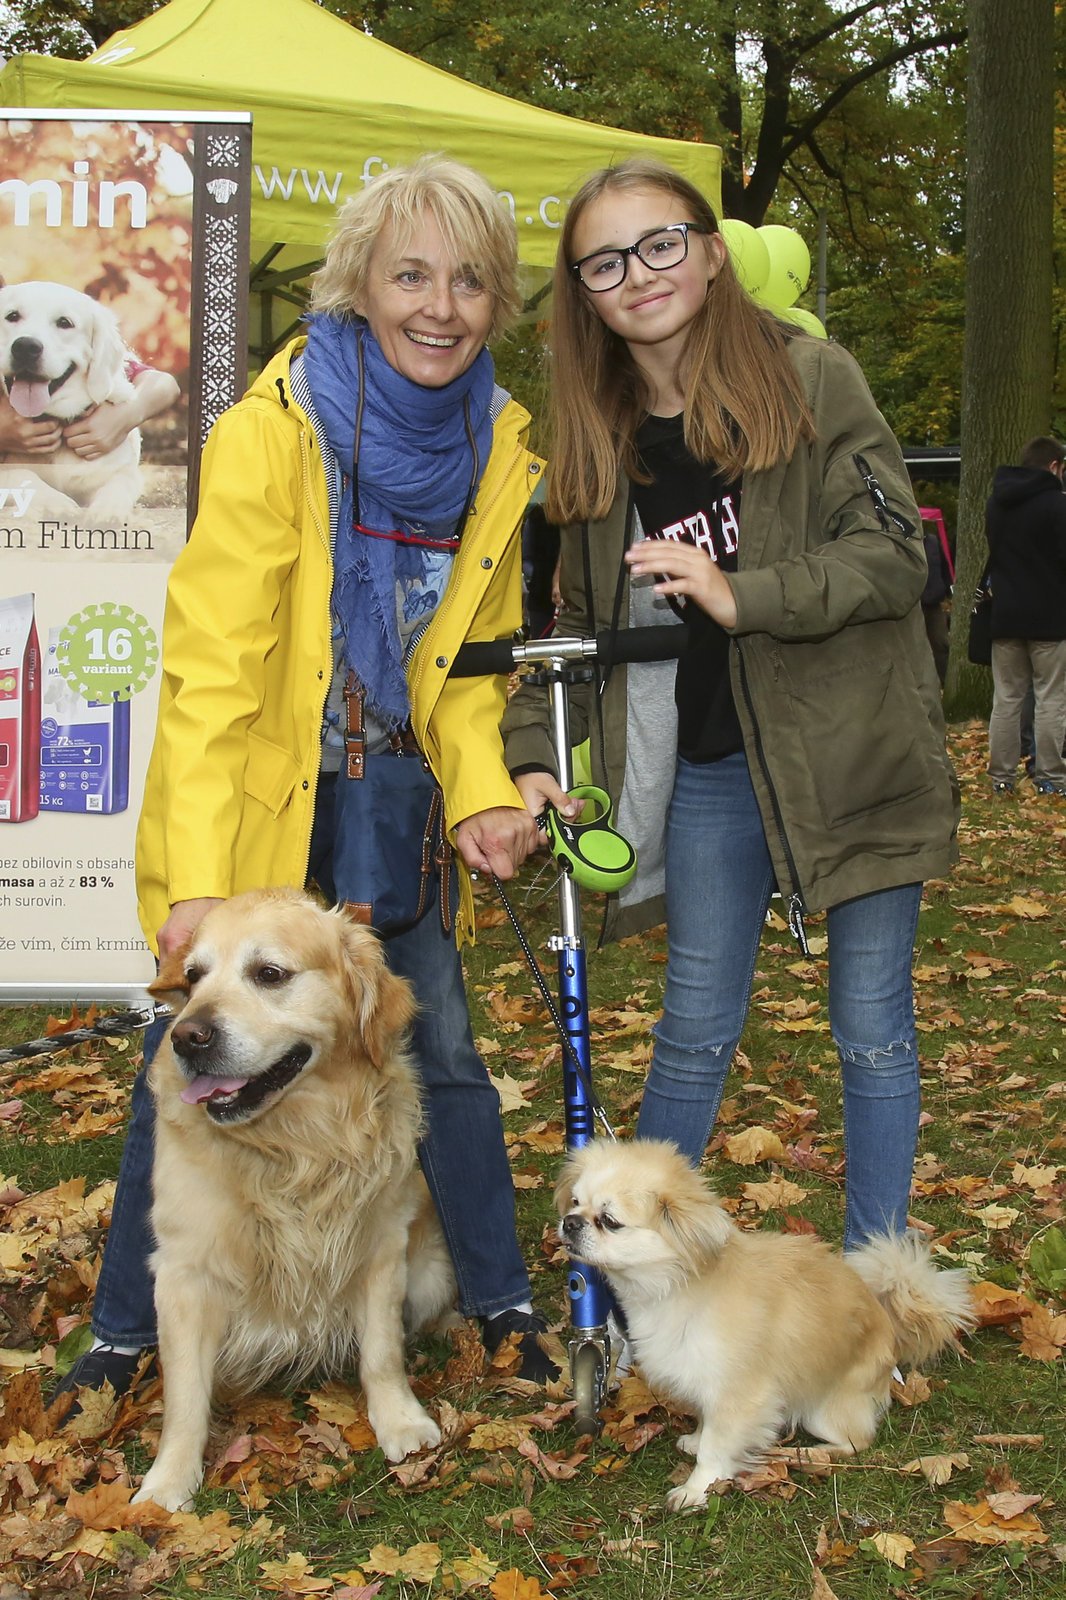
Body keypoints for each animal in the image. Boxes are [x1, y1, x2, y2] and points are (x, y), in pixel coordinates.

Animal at [130, 889, 451, 1510]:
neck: (293, 1148)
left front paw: (400, 1421)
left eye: (269, 974)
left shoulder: (381, 1246)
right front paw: (169, 1480)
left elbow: (382, 1352)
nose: (187, 1037)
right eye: (193, 976)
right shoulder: (183, 1272)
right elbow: (184, 1396)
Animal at [550, 1145, 973, 1504]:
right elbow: (707, 1424)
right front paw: (696, 1440)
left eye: (609, 1221)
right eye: (575, 1203)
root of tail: (887, 1323)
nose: (570, 1222)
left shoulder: (739, 1394)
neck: (677, 1288)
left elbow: (715, 1447)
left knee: (857, 1442)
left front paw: (696, 1490)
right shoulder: (705, 1382)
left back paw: (809, 1454)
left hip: (823, 1412)